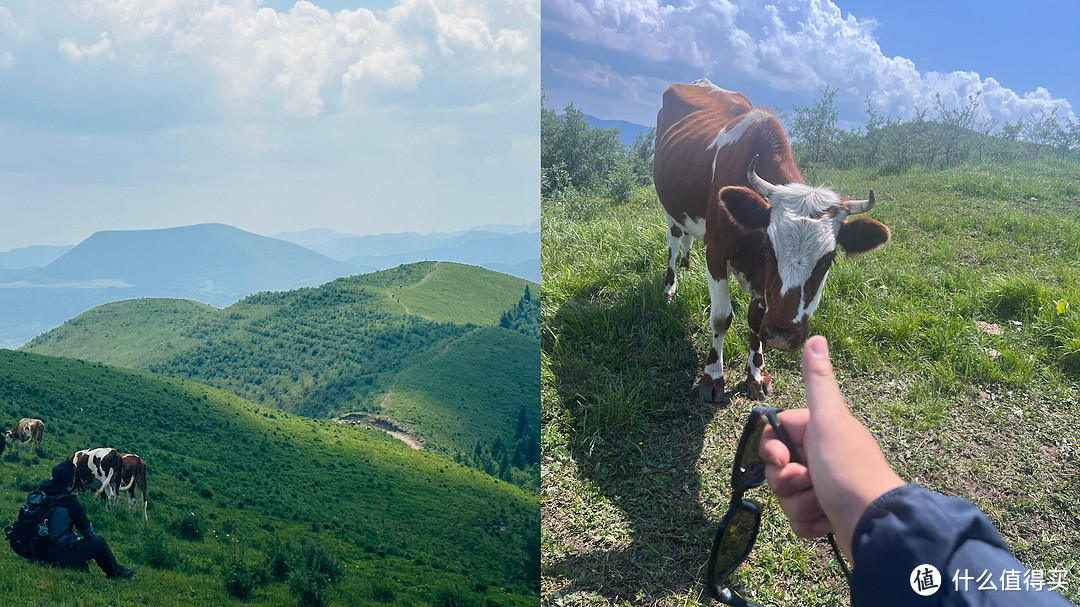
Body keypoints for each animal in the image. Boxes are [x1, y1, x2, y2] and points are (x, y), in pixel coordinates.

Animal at [652, 79, 889, 401]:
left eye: (829, 260)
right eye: (769, 249)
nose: (781, 335)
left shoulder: (761, 280)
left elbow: (755, 318)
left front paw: (756, 373)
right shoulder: (716, 253)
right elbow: (721, 316)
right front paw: (712, 377)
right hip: (669, 207)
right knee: (674, 240)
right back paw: (671, 285)